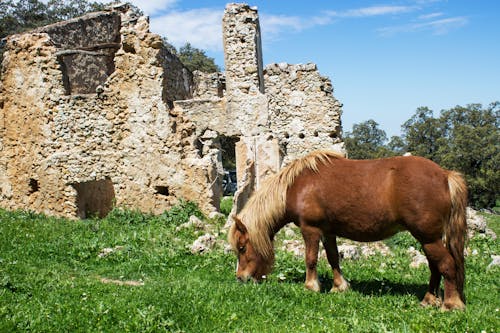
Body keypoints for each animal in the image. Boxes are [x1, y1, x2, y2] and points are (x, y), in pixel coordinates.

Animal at [229, 150, 466, 308]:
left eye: (242, 248)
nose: (240, 278)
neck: (296, 186)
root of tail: (445, 175)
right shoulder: (328, 232)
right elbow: (333, 258)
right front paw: (339, 286)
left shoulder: (310, 229)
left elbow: (311, 259)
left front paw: (311, 286)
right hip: (428, 239)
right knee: (435, 267)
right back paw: (429, 299)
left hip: (428, 238)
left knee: (446, 264)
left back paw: (451, 304)